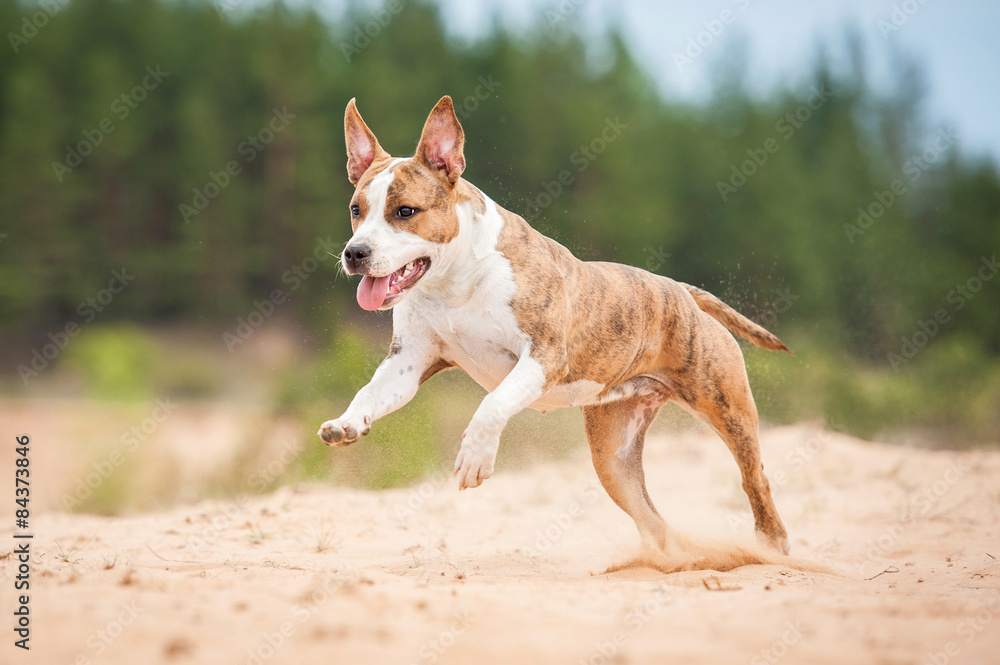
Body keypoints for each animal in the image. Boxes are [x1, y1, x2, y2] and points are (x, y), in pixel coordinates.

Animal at [318, 96, 788, 552]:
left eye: (405, 211)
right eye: (356, 210)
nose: (355, 252)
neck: (455, 281)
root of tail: (682, 292)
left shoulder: (542, 357)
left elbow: (492, 404)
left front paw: (475, 458)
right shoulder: (409, 362)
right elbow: (369, 392)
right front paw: (347, 422)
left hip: (728, 410)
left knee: (756, 480)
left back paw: (770, 546)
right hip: (613, 458)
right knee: (652, 519)